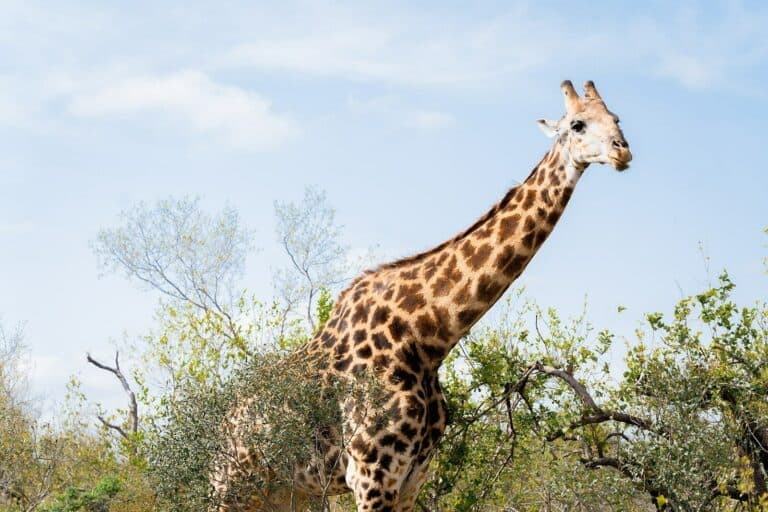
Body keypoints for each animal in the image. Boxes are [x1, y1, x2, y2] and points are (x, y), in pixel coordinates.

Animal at [212, 80, 632, 511]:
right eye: (578, 124)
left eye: (616, 118)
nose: (622, 150)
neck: (428, 334)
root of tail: (223, 422)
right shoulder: (370, 474)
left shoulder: (412, 477)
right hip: (230, 487)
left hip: (286, 493)